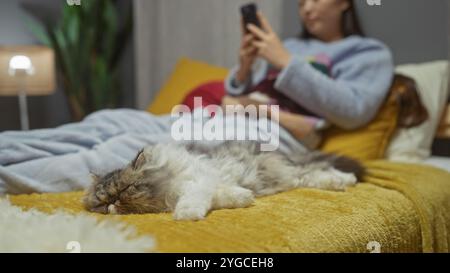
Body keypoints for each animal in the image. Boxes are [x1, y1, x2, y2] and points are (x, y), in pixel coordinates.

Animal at [83, 139, 366, 220]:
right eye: (102, 204)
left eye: (127, 189)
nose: (114, 203)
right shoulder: (210, 184)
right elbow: (224, 196)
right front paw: (244, 197)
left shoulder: (197, 181)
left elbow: (192, 199)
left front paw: (187, 214)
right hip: (287, 178)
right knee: (309, 177)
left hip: (288, 172)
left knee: (315, 172)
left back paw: (347, 179)